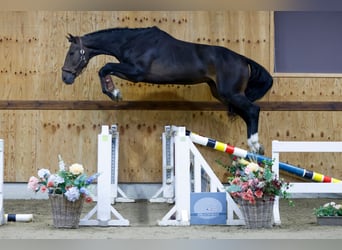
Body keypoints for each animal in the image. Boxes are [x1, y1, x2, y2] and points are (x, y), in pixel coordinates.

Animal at [62, 26, 272, 153]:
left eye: (72, 53)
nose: (66, 78)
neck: (131, 41)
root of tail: (243, 59)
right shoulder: (131, 72)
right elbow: (105, 69)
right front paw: (113, 91)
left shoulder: (137, 72)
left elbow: (105, 67)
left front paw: (115, 93)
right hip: (222, 94)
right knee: (247, 113)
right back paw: (255, 147)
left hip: (231, 93)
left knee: (253, 110)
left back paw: (255, 144)